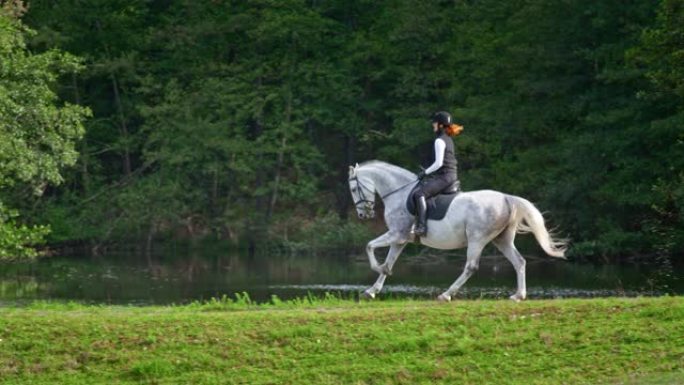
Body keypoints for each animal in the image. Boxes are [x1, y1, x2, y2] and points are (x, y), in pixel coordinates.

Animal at [348, 159, 568, 300]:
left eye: (353, 188)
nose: (363, 215)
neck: (399, 193)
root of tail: (506, 198)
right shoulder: (401, 239)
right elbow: (389, 261)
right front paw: (372, 289)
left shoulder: (396, 234)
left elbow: (369, 246)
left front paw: (377, 269)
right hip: (502, 240)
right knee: (519, 261)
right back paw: (518, 295)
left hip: (477, 239)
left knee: (471, 267)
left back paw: (446, 294)